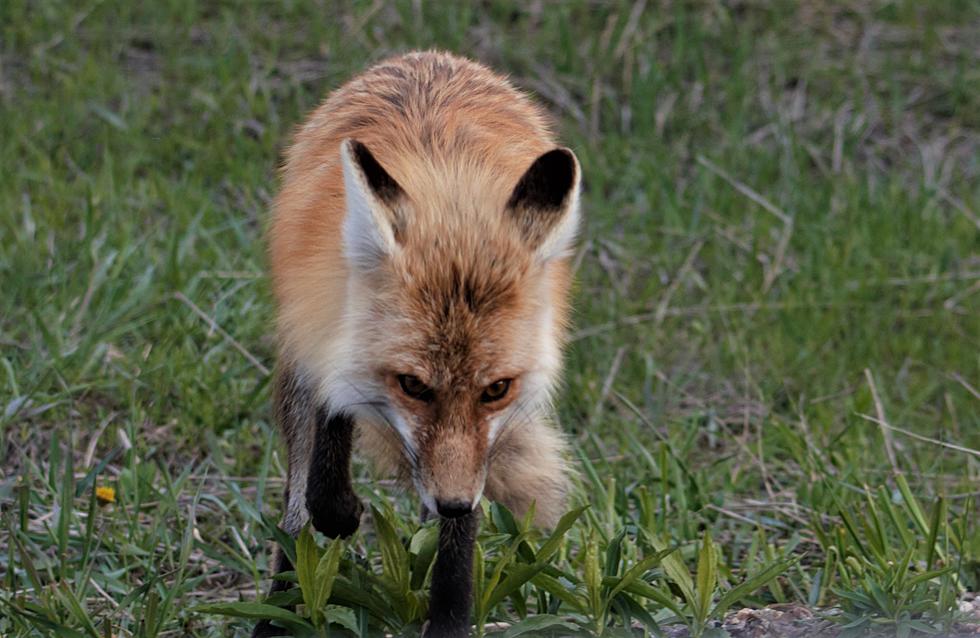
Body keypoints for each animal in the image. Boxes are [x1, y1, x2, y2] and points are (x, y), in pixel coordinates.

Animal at [253, 51, 584, 638]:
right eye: (412, 385)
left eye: (496, 388)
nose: (452, 504)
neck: (449, 202)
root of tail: (427, 56)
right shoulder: (315, 337)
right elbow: (313, 478)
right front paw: (334, 515)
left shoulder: (478, 445)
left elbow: (460, 530)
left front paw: (449, 617)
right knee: (300, 493)